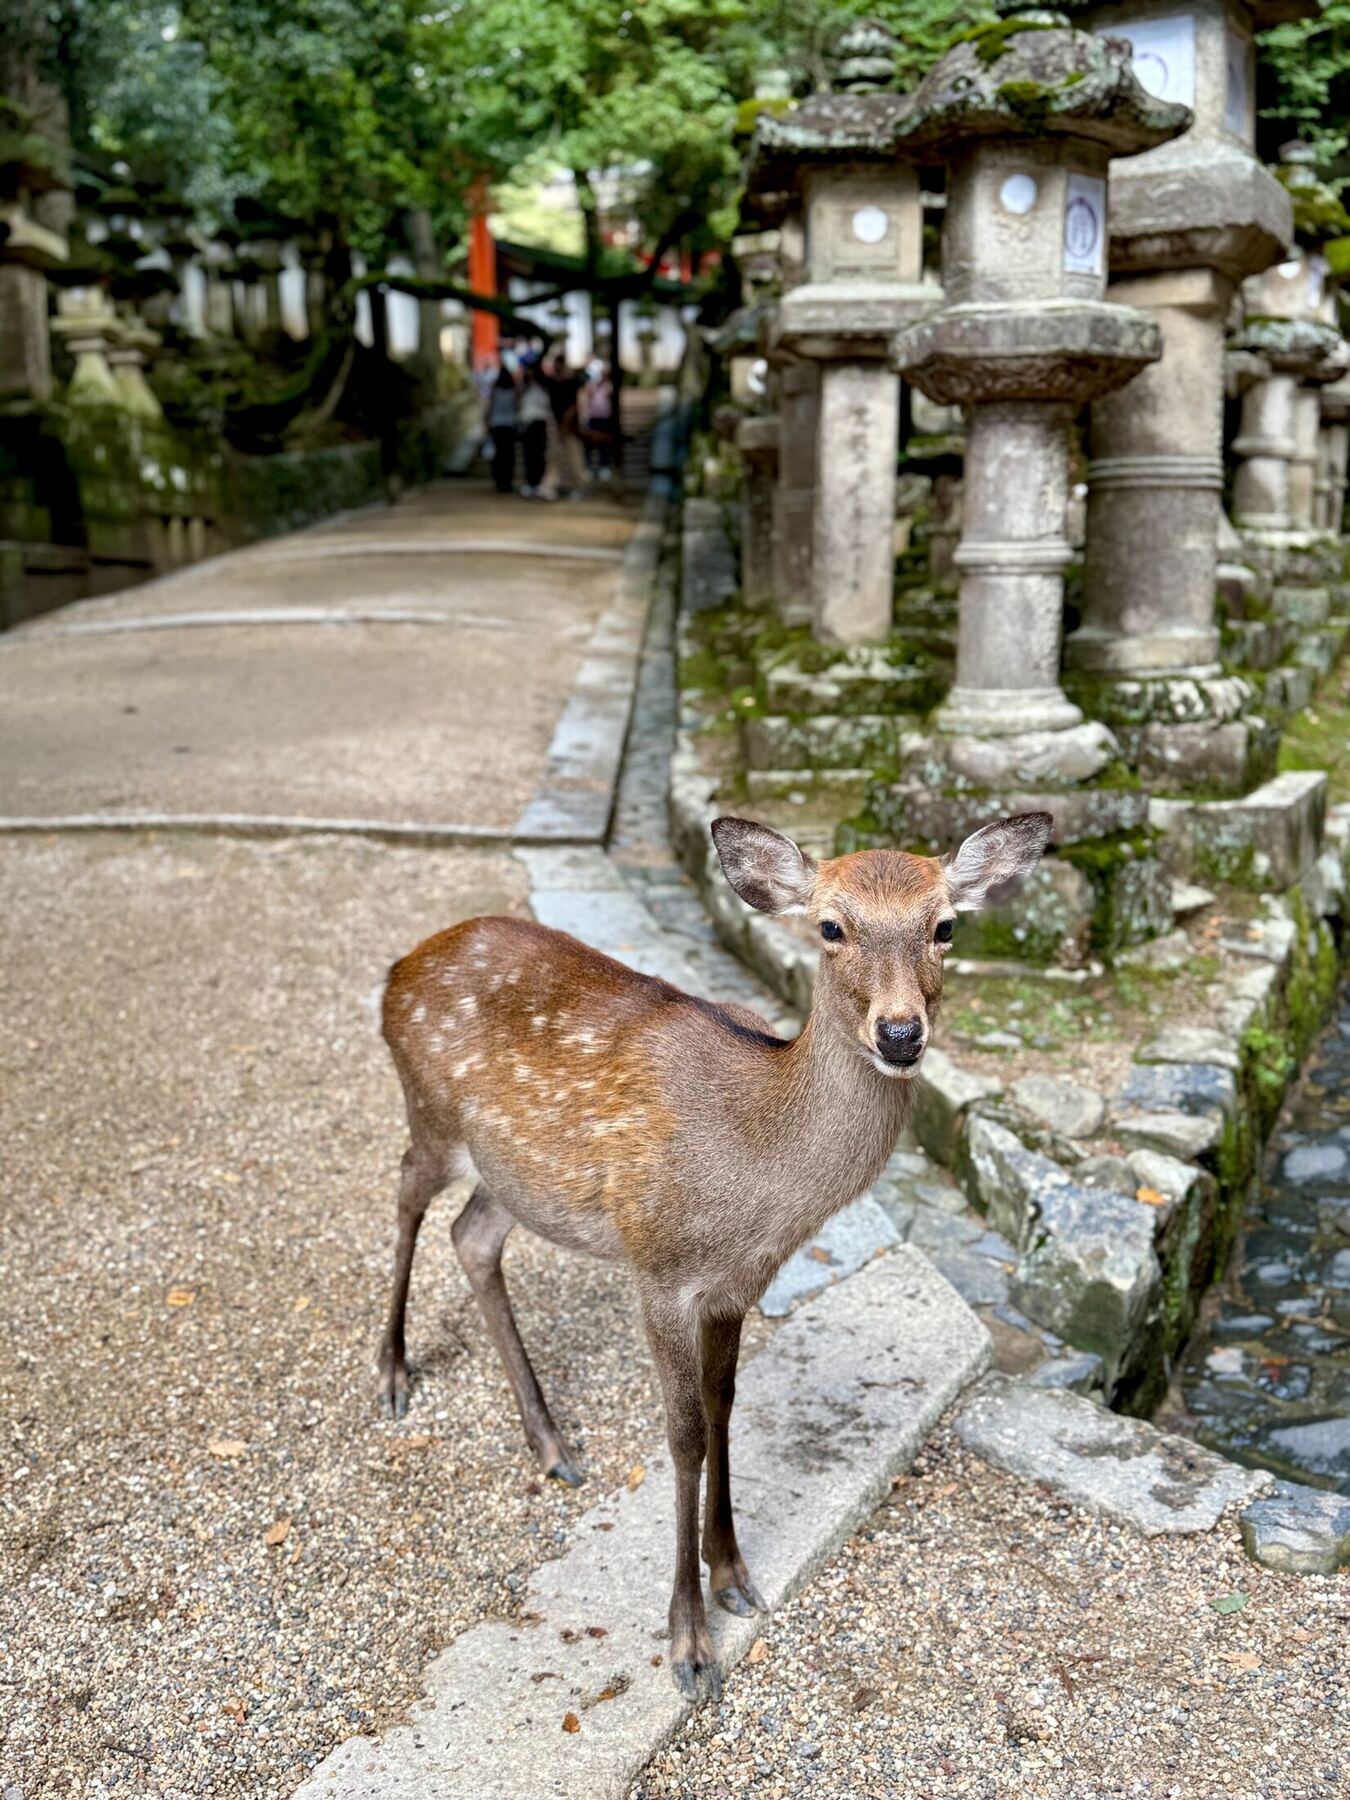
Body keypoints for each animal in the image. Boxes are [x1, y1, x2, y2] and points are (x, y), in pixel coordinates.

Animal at [376, 810, 1051, 1699]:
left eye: (945, 926)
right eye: (830, 927)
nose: (902, 1034)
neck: (757, 1181)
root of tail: (396, 969)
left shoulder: (738, 1283)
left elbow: (727, 1405)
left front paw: (731, 1571)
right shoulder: (659, 1267)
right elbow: (684, 1434)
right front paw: (689, 1642)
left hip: (516, 1173)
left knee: (472, 1237)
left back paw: (551, 1445)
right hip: (431, 1113)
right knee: (406, 1196)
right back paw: (392, 1373)